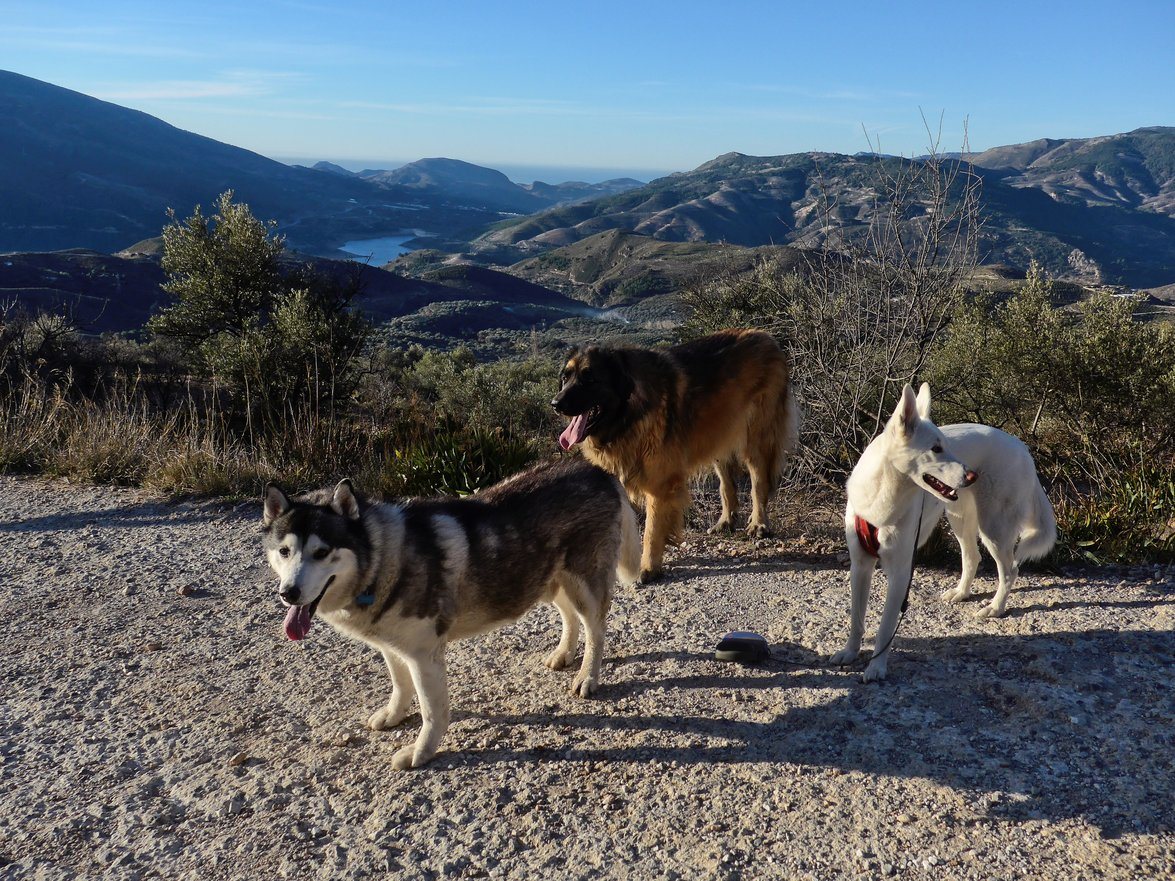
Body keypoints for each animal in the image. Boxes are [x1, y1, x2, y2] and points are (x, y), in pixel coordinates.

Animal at [264, 462, 643, 770]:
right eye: (284, 551)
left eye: (321, 552)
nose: (288, 593)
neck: (384, 559)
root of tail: (597, 470)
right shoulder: (392, 647)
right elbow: (400, 686)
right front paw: (394, 715)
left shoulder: (423, 655)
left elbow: (433, 712)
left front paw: (421, 753)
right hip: (549, 581)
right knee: (569, 616)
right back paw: (564, 653)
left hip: (583, 583)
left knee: (596, 627)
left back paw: (587, 675)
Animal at [549, 328, 798, 582]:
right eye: (565, 377)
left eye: (589, 378)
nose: (555, 403)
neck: (629, 414)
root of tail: (766, 337)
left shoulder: (660, 486)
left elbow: (651, 531)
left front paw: (647, 568)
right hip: (719, 439)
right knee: (727, 485)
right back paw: (725, 521)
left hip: (756, 440)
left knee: (759, 483)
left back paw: (759, 524)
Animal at [831, 380, 1062, 681]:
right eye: (936, 448)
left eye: (946, 446)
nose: (972, 474)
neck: (882, 497)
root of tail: (1021, 447)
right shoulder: (860, 565)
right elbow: (856, 619)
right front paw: (850, 652)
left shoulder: (900, 572)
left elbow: (885, 627)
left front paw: (876, 666)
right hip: (960, 519)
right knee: (972, 557)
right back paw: (961, 593)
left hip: (994, 528)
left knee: (1010, 570)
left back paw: (995, 608)